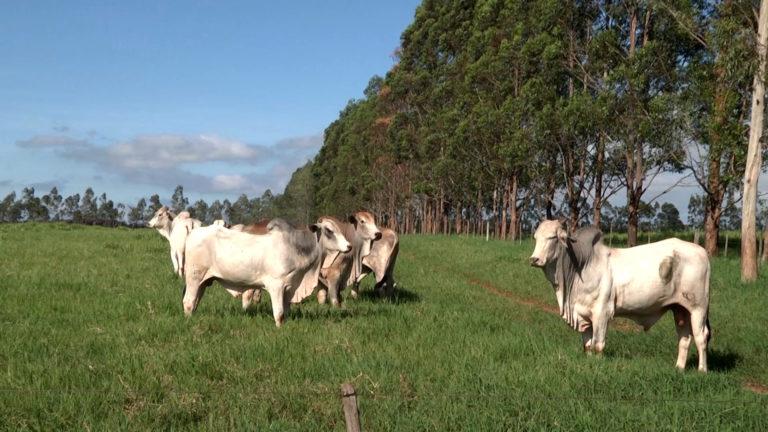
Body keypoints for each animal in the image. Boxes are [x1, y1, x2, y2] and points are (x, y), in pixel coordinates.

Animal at [183, 218, 352, 326]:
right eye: (329, 231)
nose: (349, 246)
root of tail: (192, 233)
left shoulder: (289, 288)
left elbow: (286, 312)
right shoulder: (276, 286)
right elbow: (279, 313)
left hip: (203, 282)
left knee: (196, 300)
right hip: (194, 278)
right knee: (188, 302)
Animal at [528, 219, 712, 372]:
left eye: (552, 237)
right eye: (536, 237)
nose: (534, 259)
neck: (581, 265)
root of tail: (703, 252)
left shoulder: (602, 313)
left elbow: (598, 345)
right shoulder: (583, 314)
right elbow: (587, 345)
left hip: (698, 308)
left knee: (701, 337)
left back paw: (702, 370)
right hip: (680, 309)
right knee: (684, 338)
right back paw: (679, 368)